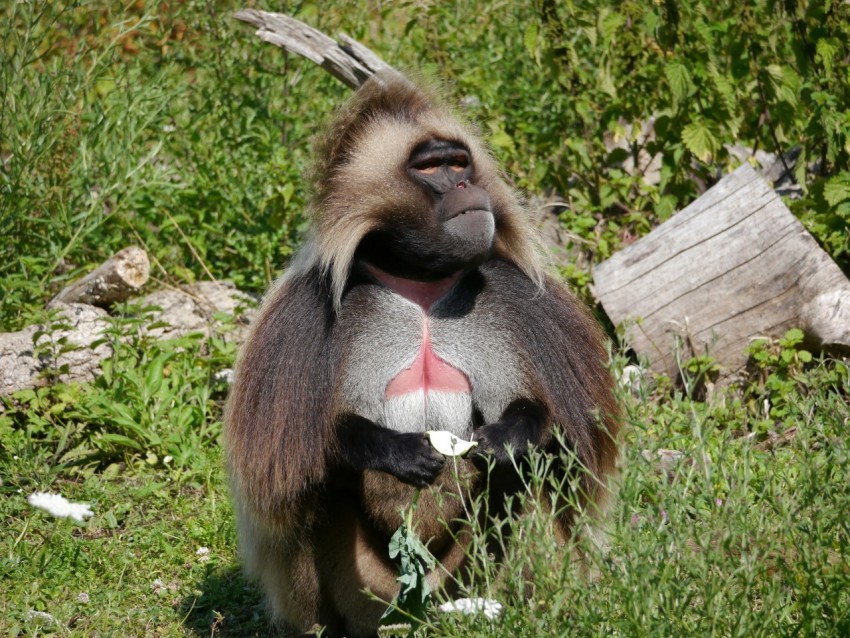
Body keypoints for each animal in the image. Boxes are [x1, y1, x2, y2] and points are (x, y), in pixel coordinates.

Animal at [224, 70, 619, 638]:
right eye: (431, 168)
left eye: (460, 162)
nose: (466, 186)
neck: (422, 287)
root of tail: (429, 606)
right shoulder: (297, 317)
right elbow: (282, 471)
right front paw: (393, 450)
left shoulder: (526, 301)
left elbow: (574, 450)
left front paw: (512, 434)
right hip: (376, 600)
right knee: (317, 497)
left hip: (468, 579)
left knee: (528, 480)